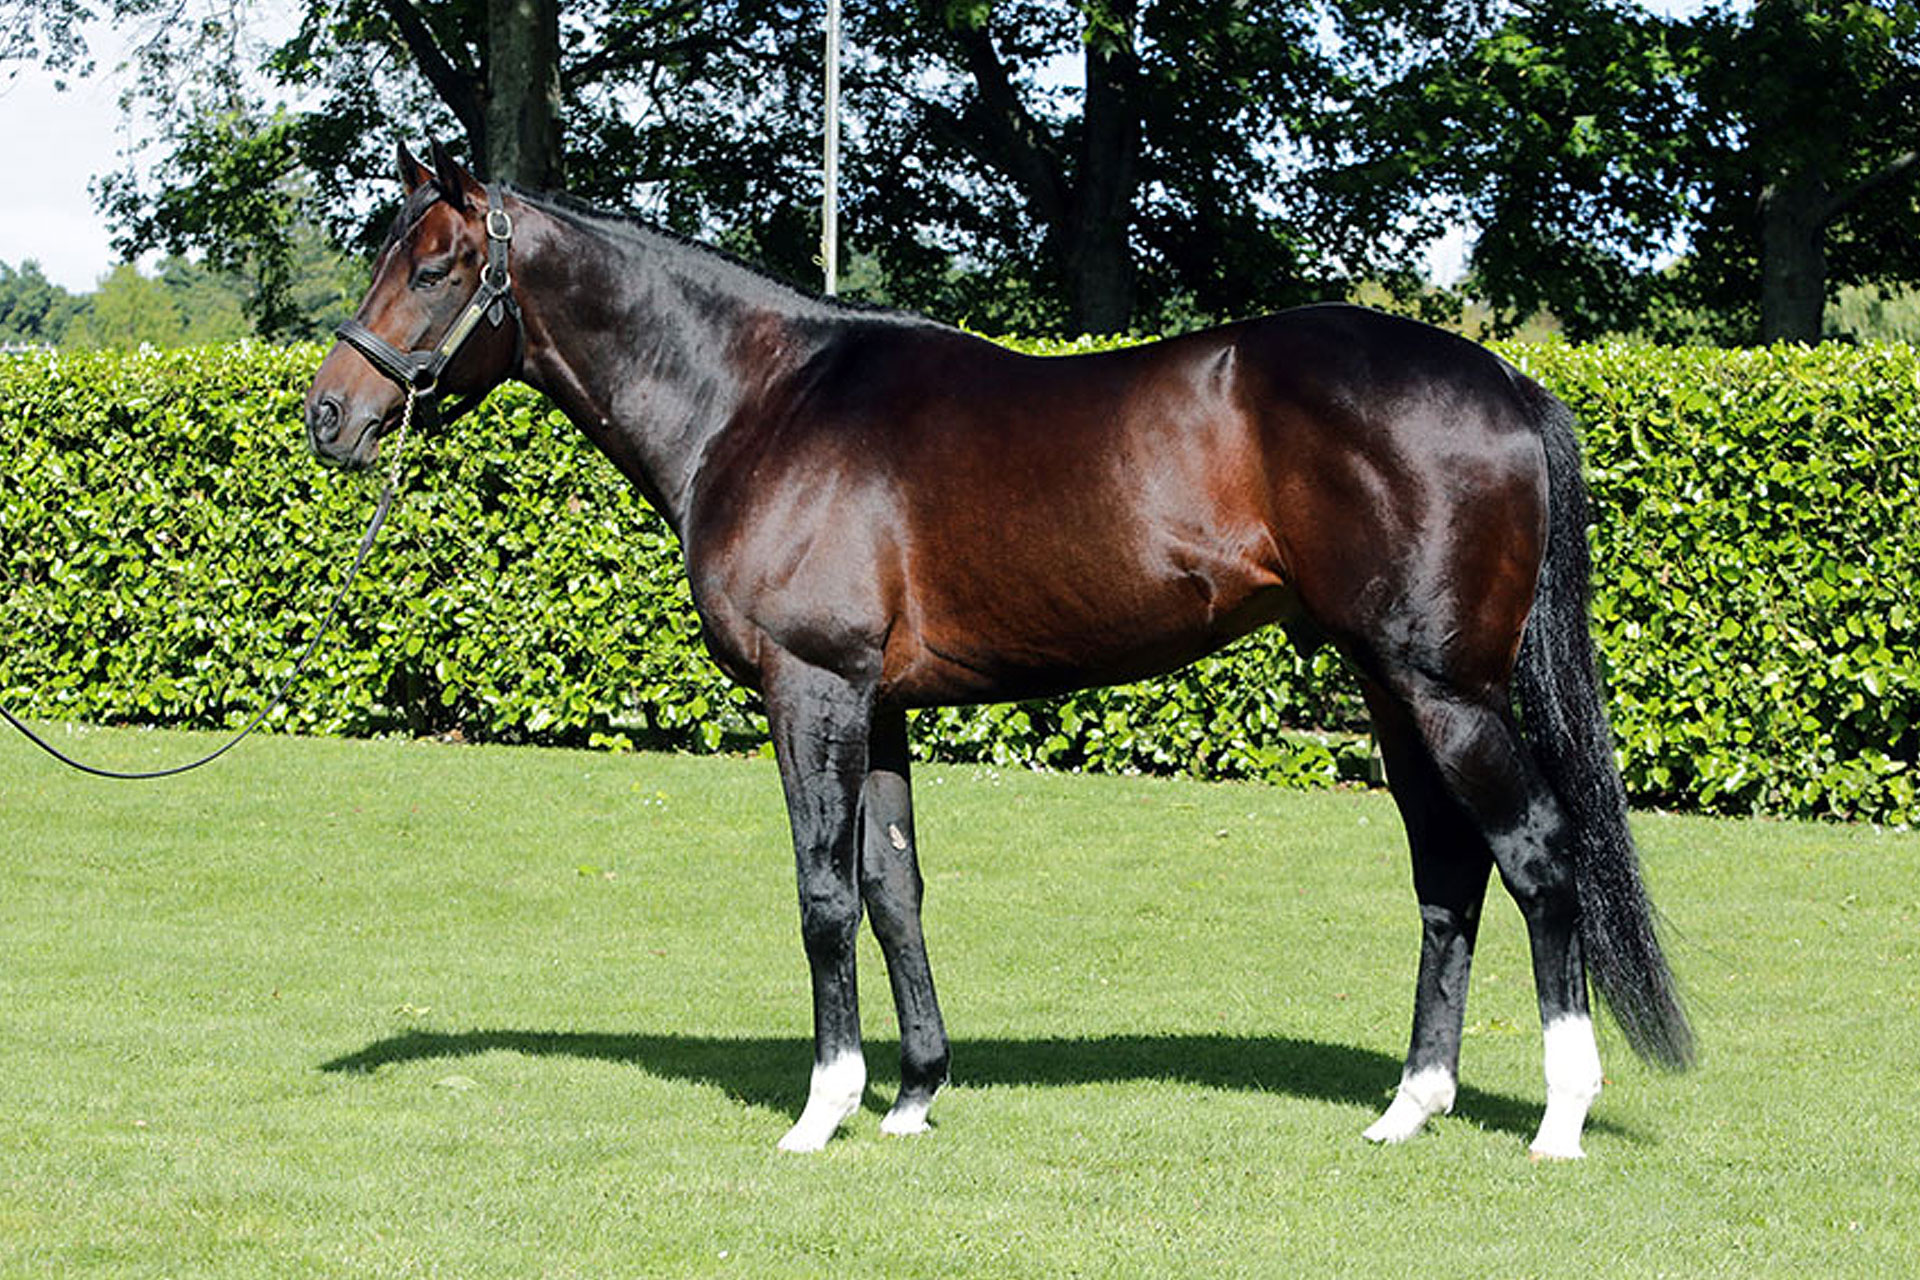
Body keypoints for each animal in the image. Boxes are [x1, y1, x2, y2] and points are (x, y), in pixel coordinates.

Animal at [305, 142, 1693, 1158]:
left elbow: (822, 894)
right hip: (1393, 686)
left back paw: (1559, 1116)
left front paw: (821, 1108)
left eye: (437, 266)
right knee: (1449, 871)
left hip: (1446, 689)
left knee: (1537, 855)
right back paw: (1410, 1106)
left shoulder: (812, 688)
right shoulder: (877, 704)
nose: (329, 413)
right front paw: (914, 1091)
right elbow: (893, 888)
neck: (759, 400)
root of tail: (1509, 383)